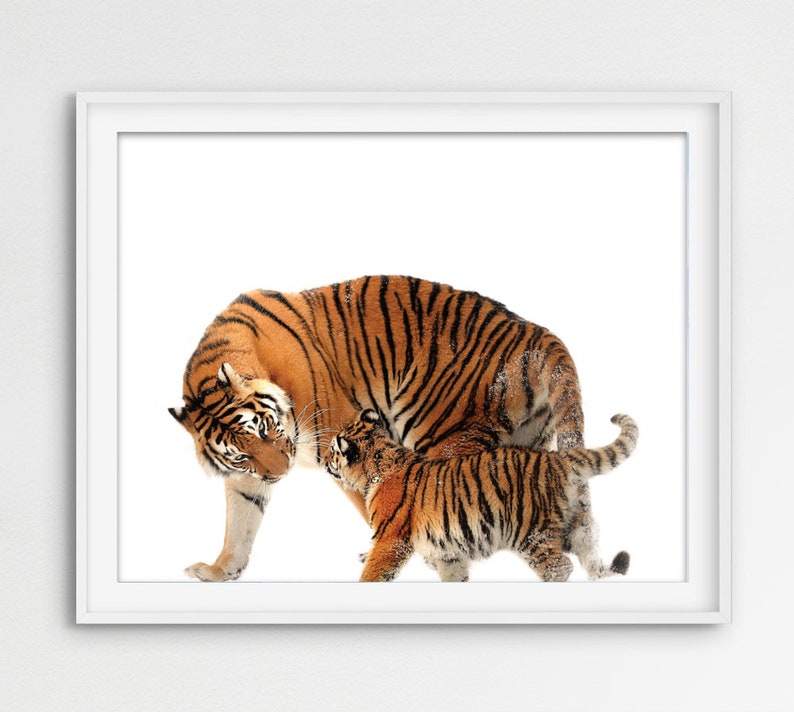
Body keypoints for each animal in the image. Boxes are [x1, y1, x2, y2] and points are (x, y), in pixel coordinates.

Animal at [169, 275, 589, 582]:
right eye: (240, 454)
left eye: (266, 428)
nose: (282, 473)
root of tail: (538, 333)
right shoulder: (248, 477)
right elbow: (239, 522)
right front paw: (219, 571)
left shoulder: (338, 437)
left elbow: (376, 507)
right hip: (526, 445)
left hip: (442, 435)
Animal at [324, 409, 637, 582]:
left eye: (332, 451)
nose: (324, 460)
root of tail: (556, 458)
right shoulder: (448, 551)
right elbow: (454, 576)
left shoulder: (391, 539)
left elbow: (374, 572)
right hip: (574, 526)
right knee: (593, 561)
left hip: (531, 533)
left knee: (560, 567)